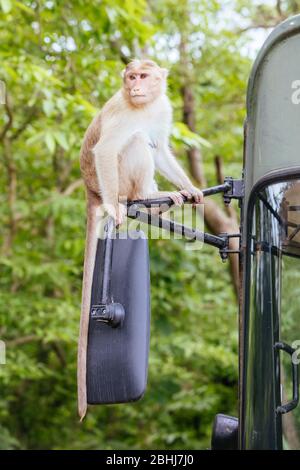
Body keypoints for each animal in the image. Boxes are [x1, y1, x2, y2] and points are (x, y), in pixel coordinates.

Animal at [77, 58, 204, 418]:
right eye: (131, 76)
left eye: (144, 76)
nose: (134, 86)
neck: (143, 104)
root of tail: (92, 191)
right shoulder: (122, 110)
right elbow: (107, 149)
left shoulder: (162, 108)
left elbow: (160, 148)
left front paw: (190, 187)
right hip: (117, 183)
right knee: (133, 141)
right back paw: (145, 196)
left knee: (146, 143)